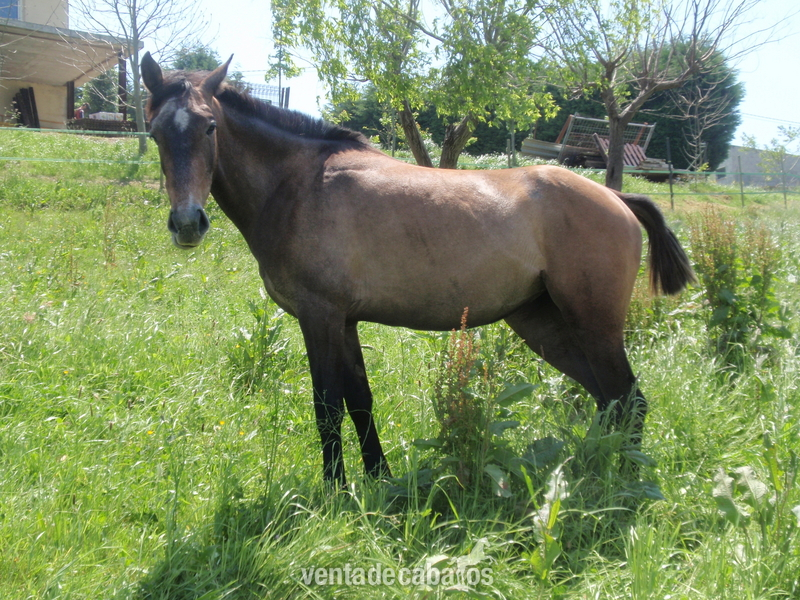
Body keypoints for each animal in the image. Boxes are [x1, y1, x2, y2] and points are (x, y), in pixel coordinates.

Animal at [141, 53, 695, 486]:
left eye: (210, 126)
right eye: (155, 131)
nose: (187, 223)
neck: (299, 183)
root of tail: (616, 197)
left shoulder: (319, 317)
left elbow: (328, 407)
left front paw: (335, 492)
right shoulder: (344, 321)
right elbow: (360, 402)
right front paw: (378, 482)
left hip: (593, 325)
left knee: (628, 400)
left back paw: (618, 483)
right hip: (545, 325)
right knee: (610, 401)